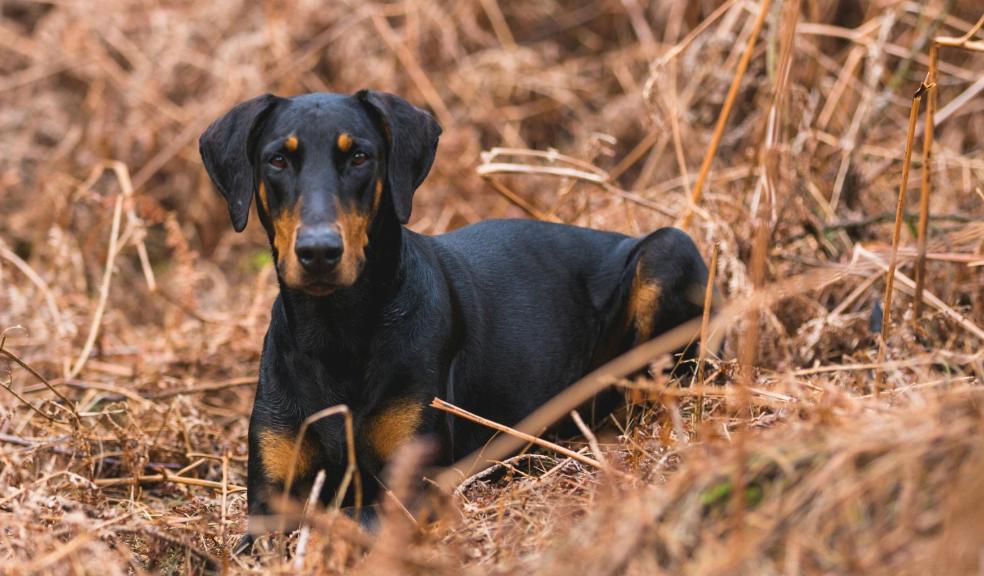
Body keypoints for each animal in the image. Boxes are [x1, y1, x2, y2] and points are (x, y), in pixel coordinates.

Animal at [198, 88, 708, 552]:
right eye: (277, 160)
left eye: (360, 157)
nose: (319, 251)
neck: (336, 329)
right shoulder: (268, 498)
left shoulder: (414, 484)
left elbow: (349, 518)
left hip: (668, 250)